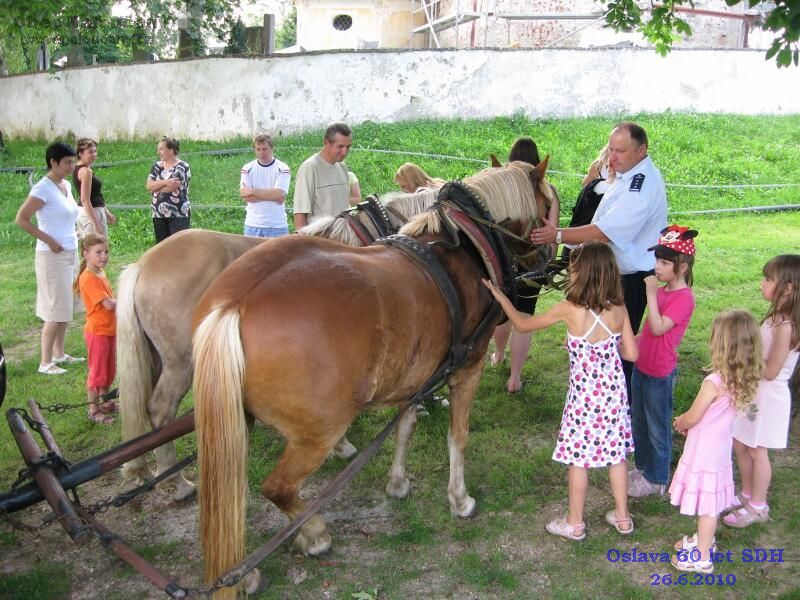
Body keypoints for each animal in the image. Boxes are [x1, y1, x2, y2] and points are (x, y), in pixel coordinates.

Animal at [193, 162, 552, 596]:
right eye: (548, 207)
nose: (550, 257)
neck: (467, 245)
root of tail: (235, 303)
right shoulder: (468, 365)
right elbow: (458, 436)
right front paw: (459, 499)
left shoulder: (418, 374)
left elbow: (404, 425)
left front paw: (397, 483)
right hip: (318, 432)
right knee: (276, 489)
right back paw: (314, 534)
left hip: (233, 423)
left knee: (229, 493)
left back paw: (243, 571)